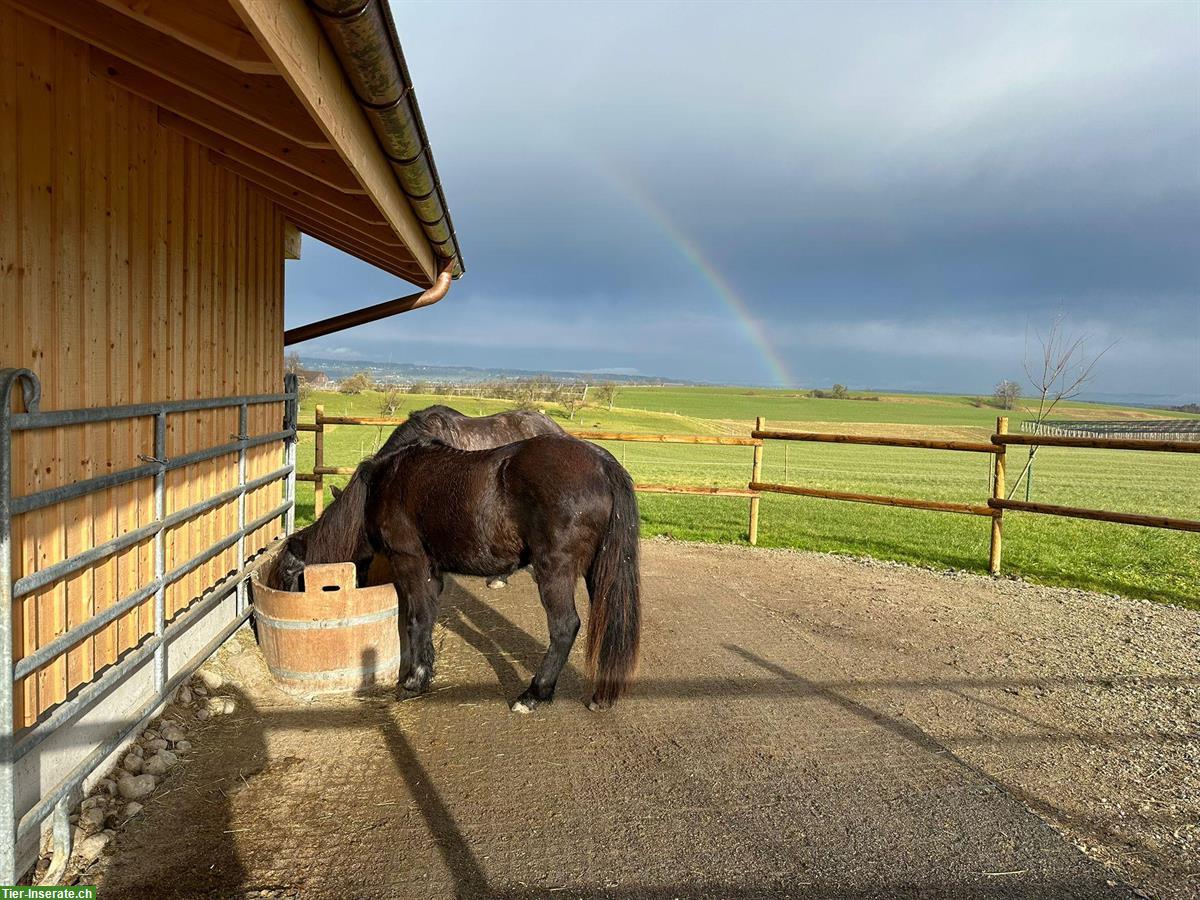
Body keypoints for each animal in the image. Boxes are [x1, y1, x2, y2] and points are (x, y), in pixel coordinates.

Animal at [277, 436, 643, 710]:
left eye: (288, 577)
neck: (385, 484)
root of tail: (601, 463)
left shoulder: (411, 562)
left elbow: (417, 619)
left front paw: (414, 680)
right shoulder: (432, 573)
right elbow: (427, 617)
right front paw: (425, 671)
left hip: (555, 571)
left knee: (565, 626)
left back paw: (534, 694)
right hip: (598, 571)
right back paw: (600, 695)